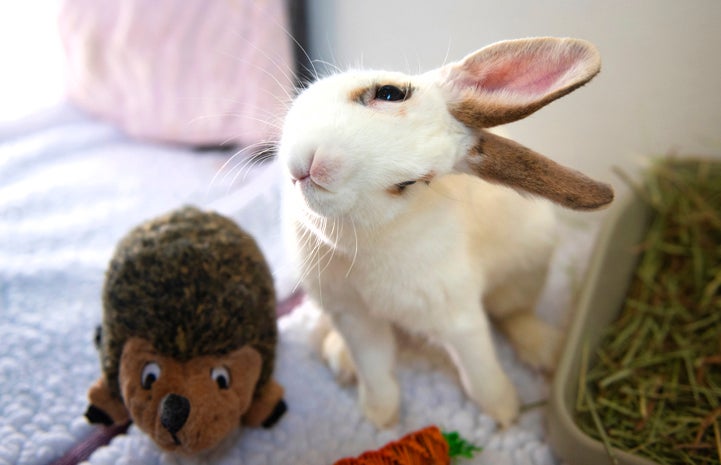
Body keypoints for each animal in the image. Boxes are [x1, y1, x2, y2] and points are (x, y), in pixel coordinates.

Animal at [278, 37, 612, 428]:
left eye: (410, 183)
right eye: (390, 92)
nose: (320, 168)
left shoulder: (457, 313)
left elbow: (478, 366)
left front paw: (505, 411)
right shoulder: (353, 316)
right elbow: (375, 370)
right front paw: (381, 418)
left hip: (525, 275)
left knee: (512, 314)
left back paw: (545, 349)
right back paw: (338, 356)